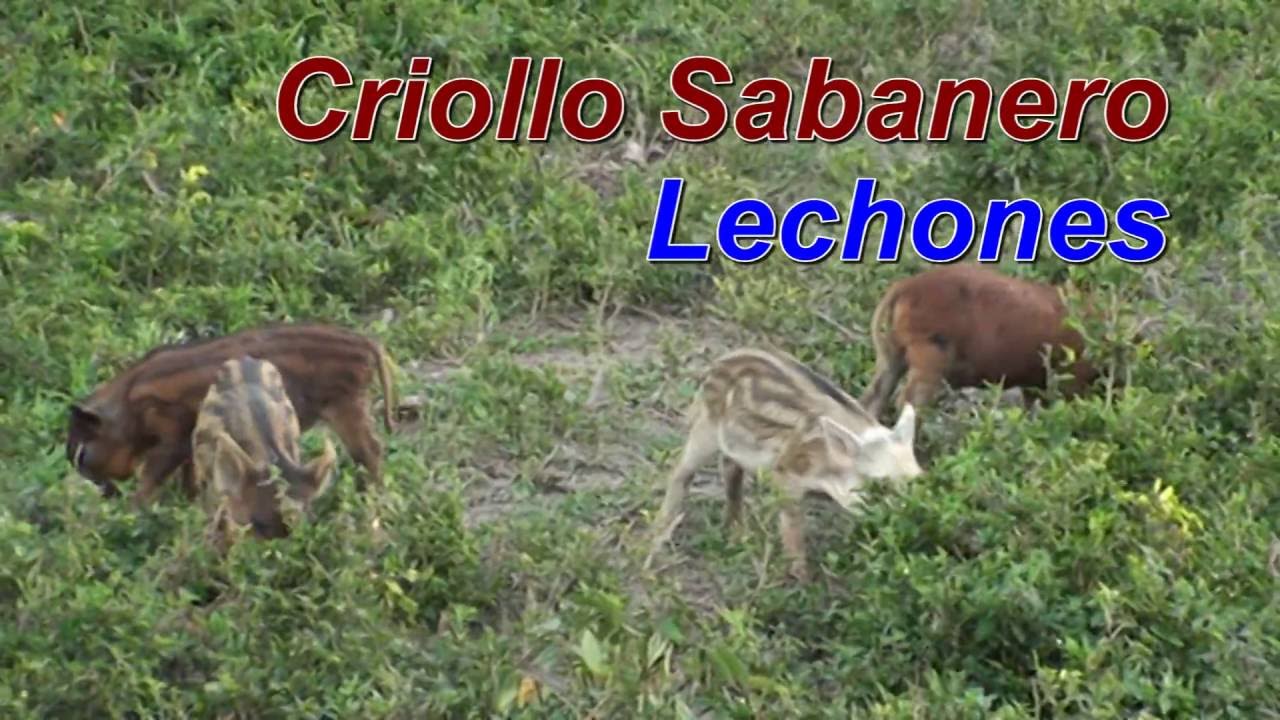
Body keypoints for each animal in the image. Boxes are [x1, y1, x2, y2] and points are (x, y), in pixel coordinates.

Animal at [66, 322, 395, 507]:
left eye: (82, 454)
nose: (106, 498)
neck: (129, 407)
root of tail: (368, 343)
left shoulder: (173, 436)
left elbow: (153, 477)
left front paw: (134, 511)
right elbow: (190, 475)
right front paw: (189, 504)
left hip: (347, 405)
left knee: (371, 451)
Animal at [644, 347, 923, 581]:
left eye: (918, 481)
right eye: (881, 485)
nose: (910, 518)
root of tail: (719, 363)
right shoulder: (786, 475)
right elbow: (793, 526)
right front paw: (802, 578)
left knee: (730, 470)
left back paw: (738, 536)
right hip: (706, 428)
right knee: (681, 472)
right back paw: (657, 541)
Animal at [858, 264, 1099, 420]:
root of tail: (905, 287)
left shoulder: (1032, 387)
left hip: (893, 358)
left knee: (875, 398)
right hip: (928, 363)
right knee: (909, 403)